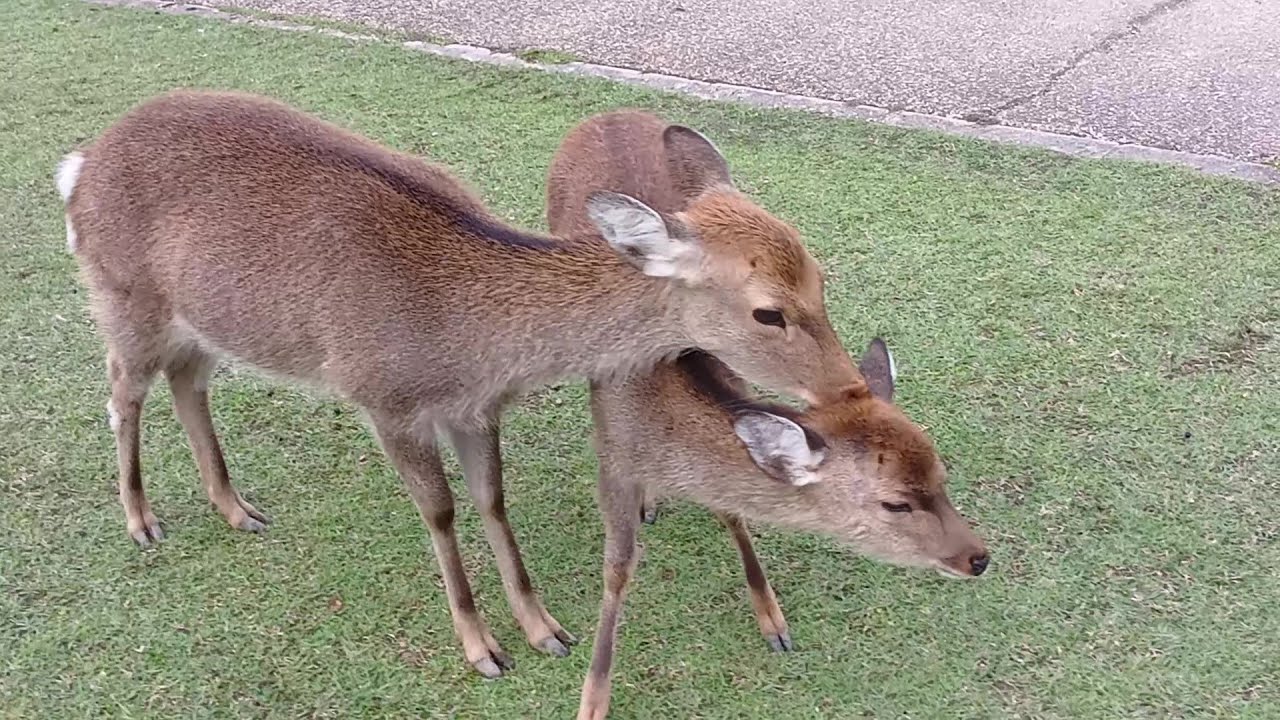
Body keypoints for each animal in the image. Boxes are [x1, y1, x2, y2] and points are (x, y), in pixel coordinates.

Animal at [56, 90, 864, 679]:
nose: (852, 390)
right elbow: (441, 513)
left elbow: (491, 499)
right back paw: (142, 520)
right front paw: (483, 650)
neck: (467, 339)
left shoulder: (475, 409)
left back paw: (237, 509)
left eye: (819, 276)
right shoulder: (381, 397)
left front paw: (545, 629)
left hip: (196, 325)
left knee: (187, 384)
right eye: (768, 310)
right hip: (122, 294)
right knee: (121, 390)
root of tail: (79, 164)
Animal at [545, 110, 990, 720]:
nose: (978, 559)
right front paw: (591, 700)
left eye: (943, 478)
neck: (665, 435)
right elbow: (617, 571)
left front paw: (774, 623)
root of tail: (606, 114)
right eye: (894, 503)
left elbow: (734, 515)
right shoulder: (612, 455)